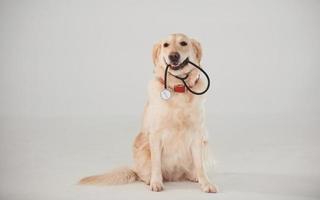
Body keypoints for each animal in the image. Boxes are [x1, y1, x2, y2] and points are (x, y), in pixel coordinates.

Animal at [79, 33, 216, 193]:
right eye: (166, 45)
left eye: (183, 43)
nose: (173, 56)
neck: (178, 87)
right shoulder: (155, 135)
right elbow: (156, 163)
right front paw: (156, 182)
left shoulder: (197, 135)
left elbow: (200, 166)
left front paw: (206, 183)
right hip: (142, 147)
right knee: (142, 173)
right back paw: (149, 179)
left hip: (204, 142)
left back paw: (193, 176)